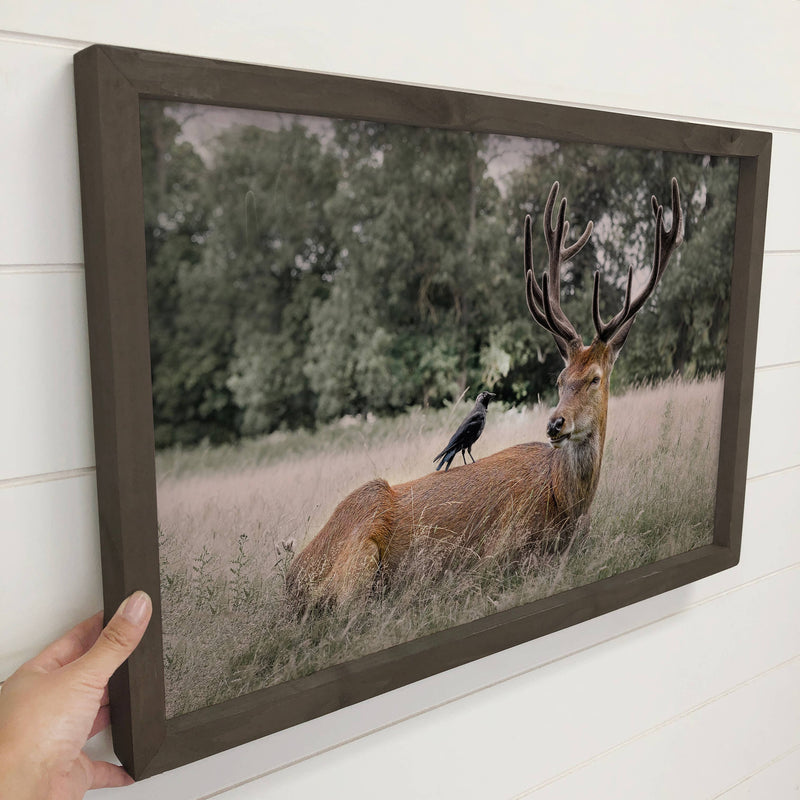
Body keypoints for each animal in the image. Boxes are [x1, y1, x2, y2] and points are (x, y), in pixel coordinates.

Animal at [284, 180, 684, 608]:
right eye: (560, 379)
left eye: (594, 378)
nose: (556, 424)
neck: (566, 502)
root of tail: (291, 580)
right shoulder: (500, 547)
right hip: (359, 547)